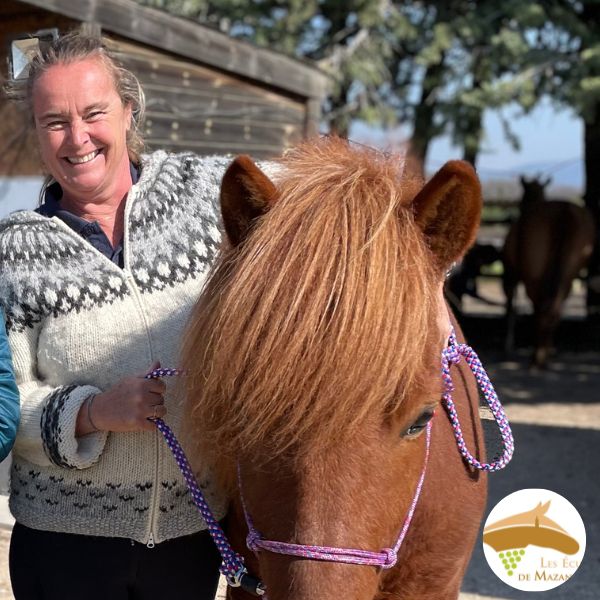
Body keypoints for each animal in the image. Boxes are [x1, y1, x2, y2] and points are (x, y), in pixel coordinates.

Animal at [502, 176, 596, 368]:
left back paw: (537, 358)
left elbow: (510, 309)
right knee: (555, 308)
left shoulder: (510, 274)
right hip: (569, 272)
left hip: (534, 275)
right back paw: (544, 355)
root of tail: (564, 211)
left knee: (541, 309)